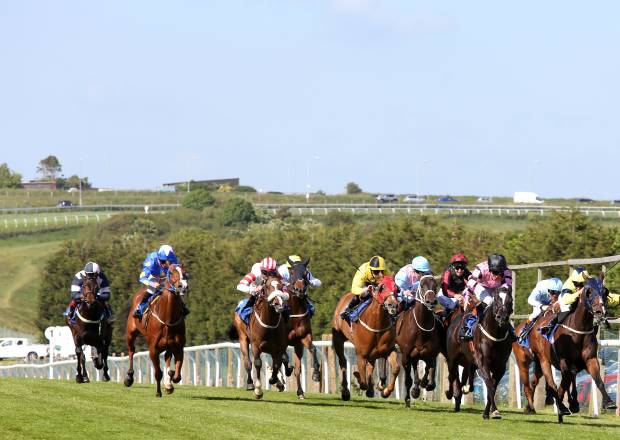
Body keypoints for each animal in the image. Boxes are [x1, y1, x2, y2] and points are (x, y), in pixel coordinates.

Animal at [123, 264, 186, 398]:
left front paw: (169, 384)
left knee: (167, 357)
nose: (182, 286)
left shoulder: (178, 347)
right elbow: (158, 372)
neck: (167, 319)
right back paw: (129, 377)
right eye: (171, 273)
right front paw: (158, 392)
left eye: (185, 272)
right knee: (131, 350)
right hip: (130, 333)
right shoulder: (153, 349)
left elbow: (177, 375)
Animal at [286, 258, 322, 398]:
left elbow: (313, 349)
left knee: (297, 369)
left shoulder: (304, 336)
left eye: (306, 273)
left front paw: (316, 374)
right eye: (291, 272)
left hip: (298, 346)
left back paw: (300, 392)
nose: (299, 289)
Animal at [394, 274, 444, 408]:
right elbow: (409, 379)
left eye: (436, 285)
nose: (431, 302)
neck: (422, 328)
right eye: (421, 285)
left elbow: (429, 369)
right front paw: (411, 395)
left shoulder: (430, 353)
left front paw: (424, 383)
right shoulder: (407, 355)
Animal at [446, 288, 512, 420]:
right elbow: (490, 385)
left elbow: (493, 387)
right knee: (451, 375)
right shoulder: (483, 362)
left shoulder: (501, 367)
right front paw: (494, 411)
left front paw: (488, 412)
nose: (502, 318)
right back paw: (450, 393)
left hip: (468, 360)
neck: (495, 335)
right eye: (496, 300)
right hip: (452, 358)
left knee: (466, 375)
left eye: (510, 300)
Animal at [508, 276, 616, 422]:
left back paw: (531, 406)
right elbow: (563, 383)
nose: (600, 312)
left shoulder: (590, 359)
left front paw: (609, 402)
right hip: (529, 360)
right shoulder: (565, 362)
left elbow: (598, 380)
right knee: (537, 383)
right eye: (589, 291)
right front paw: (564, 405)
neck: (579, 331)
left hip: (539, 363)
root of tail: (519, 329)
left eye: (605, 291)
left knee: (535, 381)